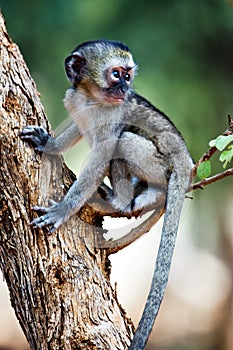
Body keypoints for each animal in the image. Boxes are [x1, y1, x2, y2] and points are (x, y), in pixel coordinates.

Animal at [20, 39, 194, 348]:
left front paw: (62, 210)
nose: (124, 89)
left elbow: (104, 152)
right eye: (116, 74)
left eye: (127, 75)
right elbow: (78, 126)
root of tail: (184, 159)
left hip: (158, 163)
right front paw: (50, 145)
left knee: (123, 141)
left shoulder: (113, 114)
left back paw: (123, 201)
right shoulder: (73, 99)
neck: (92, 100)